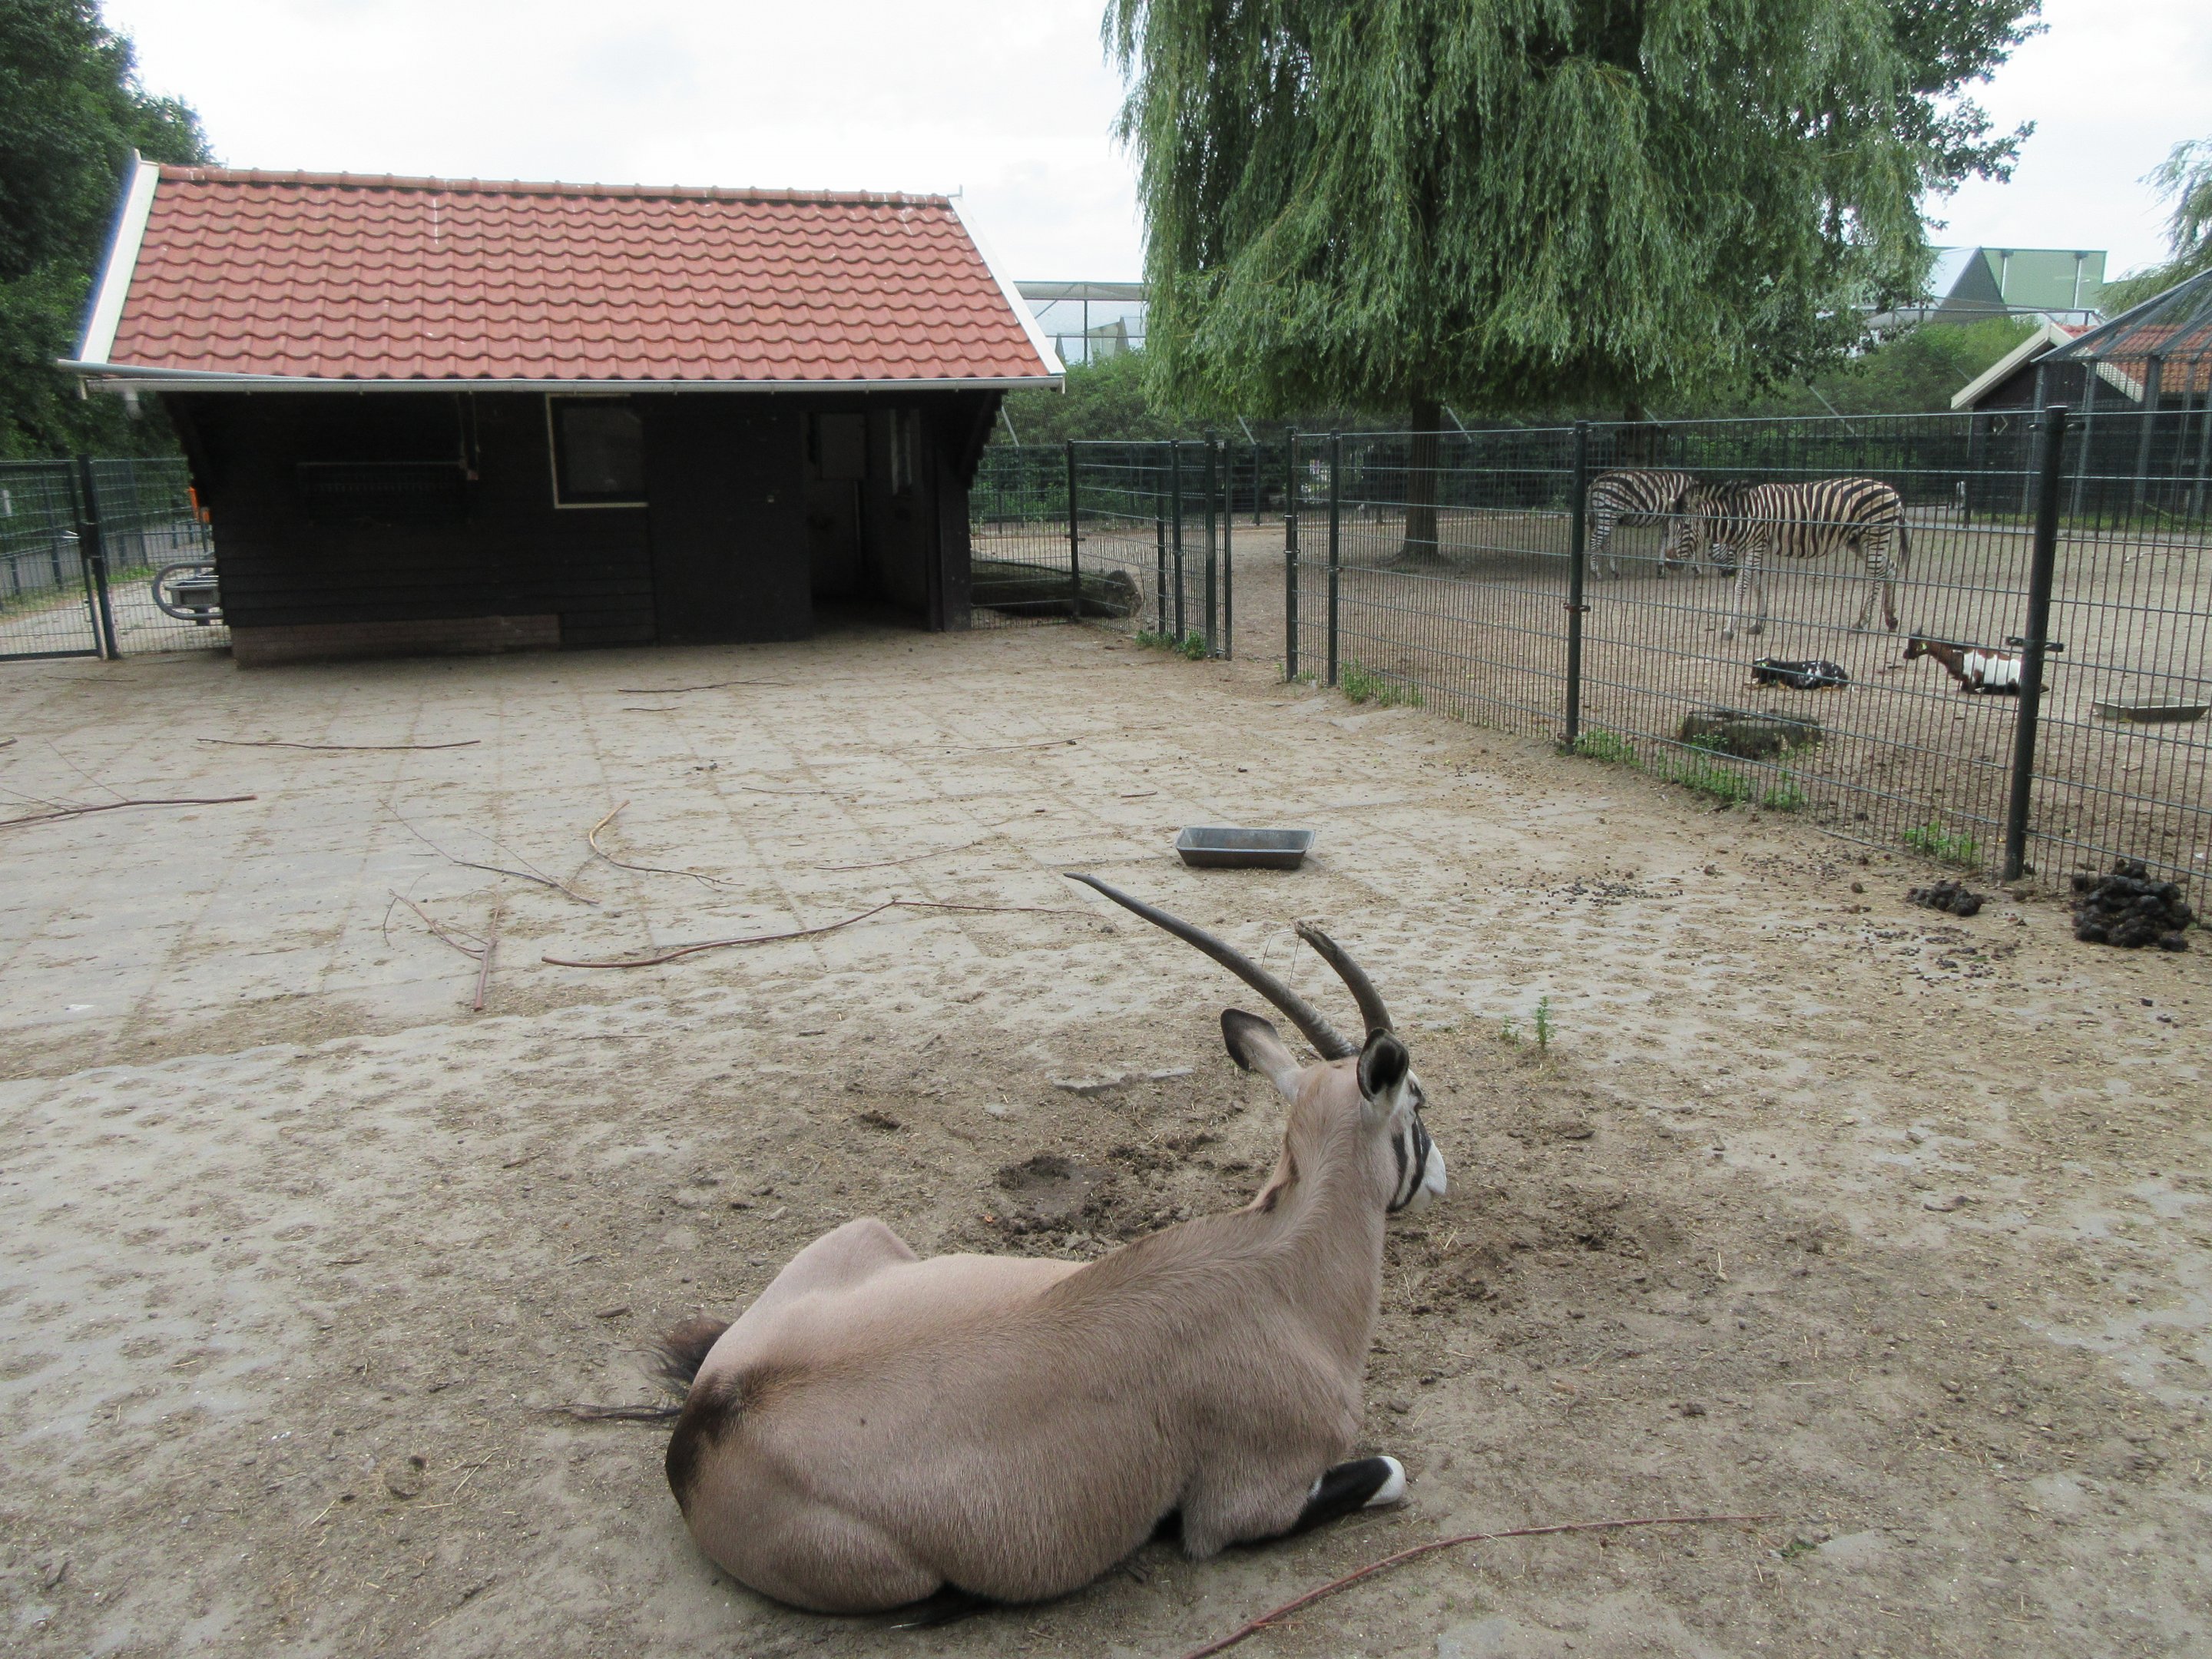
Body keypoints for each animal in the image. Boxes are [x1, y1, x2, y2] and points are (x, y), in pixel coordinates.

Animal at [1584, 469, 1705, 579]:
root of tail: (1596, 480)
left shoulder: (1668, 521)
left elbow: (1664, 542)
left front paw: (1661, 570)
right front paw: (1696, 568)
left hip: (1605, 517)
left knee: (1604, 542)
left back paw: (1615, 571)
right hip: (1608, 513)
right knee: (1595, 541)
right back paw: (1596, 572)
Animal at [1691, 477, 1912, 640]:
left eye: (1709, 552)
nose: (1727, 573)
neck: (1741, 515)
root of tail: (1893, 492)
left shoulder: (1755, 545)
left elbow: (1742, 586)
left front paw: (1729, 629)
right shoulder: (1757, 547)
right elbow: (1756, 583)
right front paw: (1759, 622)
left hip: (1874, 533)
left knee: (1877, 575)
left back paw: (1862, 623)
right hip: (1858, 541)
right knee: (1889, 568)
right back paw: (1891, 618)